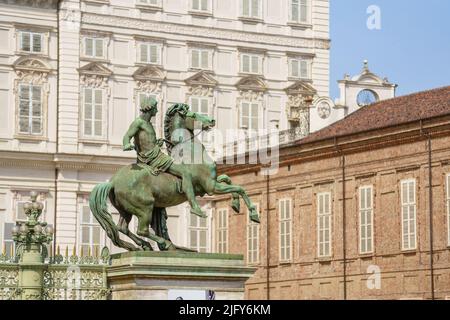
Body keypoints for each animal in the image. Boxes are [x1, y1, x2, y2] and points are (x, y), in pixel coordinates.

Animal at [89, 104, 258, 251]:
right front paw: (254, 214)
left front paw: (236, 204)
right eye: (194, 114)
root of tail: (113, 182)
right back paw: (165, 243)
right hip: (145, 207)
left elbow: (229, 180)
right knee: (141, 230)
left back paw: (143, 245)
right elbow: (240, 188)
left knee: (122, 228)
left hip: (126, 210)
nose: (211, 120)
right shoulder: (210, 186)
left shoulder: (207, 187)